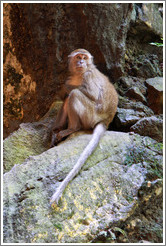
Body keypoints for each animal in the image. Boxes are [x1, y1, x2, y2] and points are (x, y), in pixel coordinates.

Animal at [49, 48, 118, 206]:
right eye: (78, 57)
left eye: (84, 57)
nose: (81, 62)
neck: (80, 74)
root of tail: (105, 121)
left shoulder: (88, 75)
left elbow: (91, 94)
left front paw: (64, 87)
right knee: (69, 98)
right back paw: (57, 131)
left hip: (91, 115)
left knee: (74, 94)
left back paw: (73, 128)